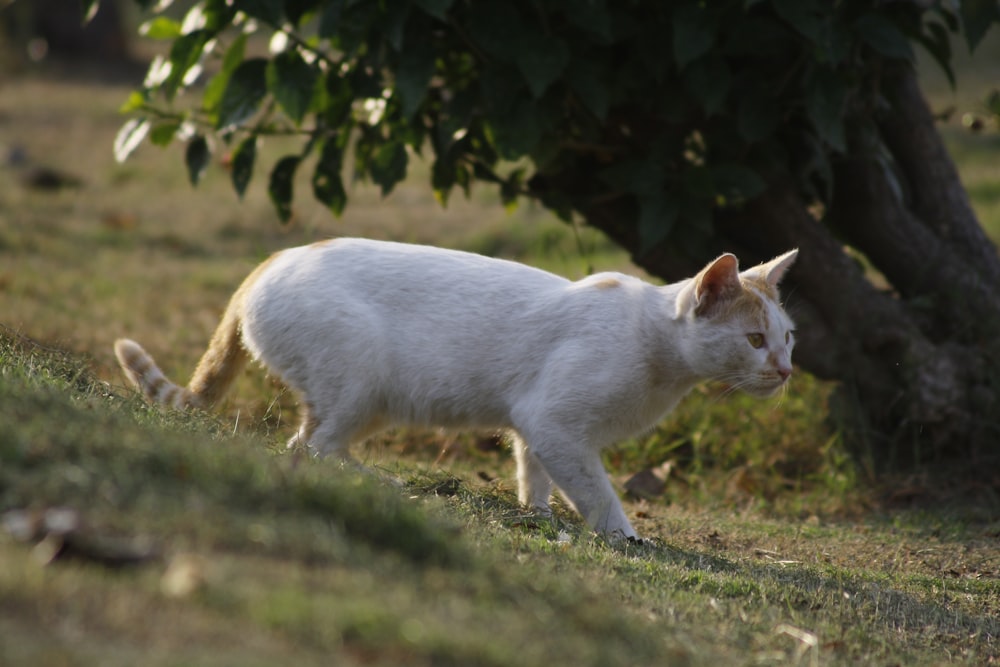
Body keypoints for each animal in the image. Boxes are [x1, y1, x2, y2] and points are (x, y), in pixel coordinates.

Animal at [115, 237, 796, 540]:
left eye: (789, 338)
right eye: (755, 339)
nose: (787, 371)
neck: (658, 351)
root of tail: (271, 260)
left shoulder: (536, 429)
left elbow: (534, 474)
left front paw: (535, 513)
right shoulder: (554, 423)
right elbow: (597, 492)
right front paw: (622, 534)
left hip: (356, 398)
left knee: (303, 445)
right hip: (363, 383)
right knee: (308, 450)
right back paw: (384, 485)